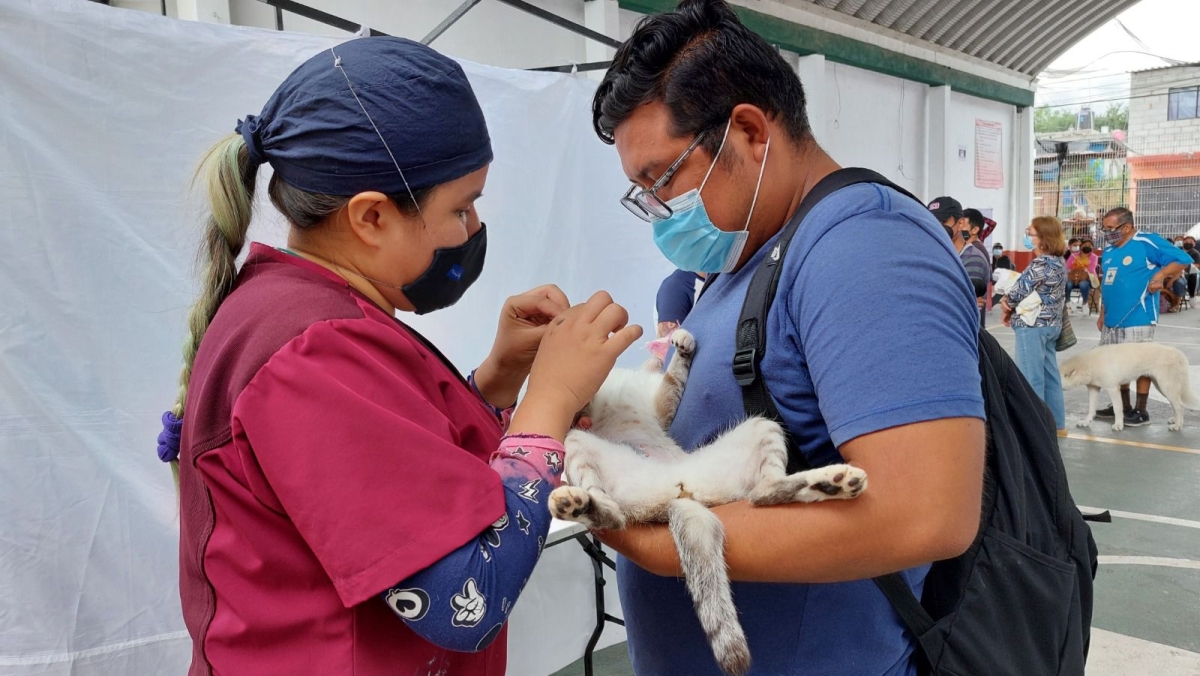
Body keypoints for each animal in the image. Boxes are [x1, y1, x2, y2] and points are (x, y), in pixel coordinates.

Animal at [549, 328, 868, 676]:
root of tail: (679, 496)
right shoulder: (581, 421)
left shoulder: (660, 407)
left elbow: (672, 380)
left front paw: (681, 344)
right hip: (578, 445)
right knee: (614, 516)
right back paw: (576, 503)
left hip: (762, 425)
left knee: (763, 491)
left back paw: (833, 482)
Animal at [1060, 343, 1200, 434]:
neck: (1089, 364)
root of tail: (1179, 353)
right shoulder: (1093, 389)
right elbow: (1091, 409)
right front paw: (1086, 422)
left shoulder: (1113, 389)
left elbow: (1117, 409)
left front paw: (1118, 425)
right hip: (1161, 387)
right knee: (1175, 405)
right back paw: (1174, 420)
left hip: (1166, 386)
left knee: (1180, 406)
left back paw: (1177, 426)